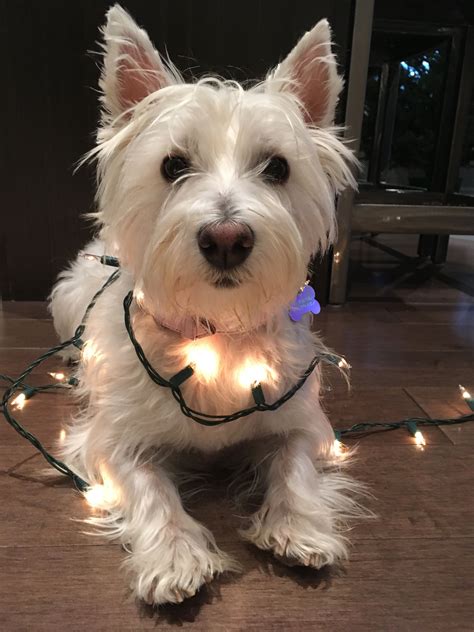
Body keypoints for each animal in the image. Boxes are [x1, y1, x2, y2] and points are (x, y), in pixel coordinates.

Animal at [50, 6, 362, 608]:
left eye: (277, 167)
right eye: (172, 165)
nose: (226, 239)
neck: (218, 335)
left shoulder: (302, 422)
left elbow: (294, 465)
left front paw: (298, 526)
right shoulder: (110, 441)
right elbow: (150, 486)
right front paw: (174, 556)